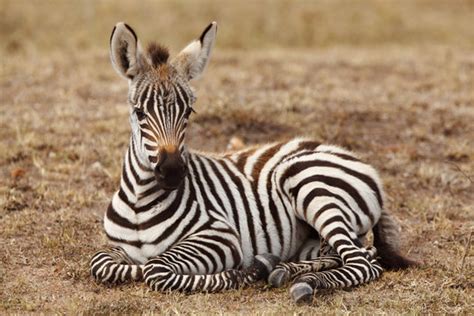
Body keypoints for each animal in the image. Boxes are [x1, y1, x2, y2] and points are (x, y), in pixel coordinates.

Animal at [89, 21, 414, 304]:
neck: (140, 202)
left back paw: (304, 283)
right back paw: (283, 270)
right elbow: (102, 262)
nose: (172, 172)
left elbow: (155, 269)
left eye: (189, 112)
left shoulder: (220, 236)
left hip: (311, 185)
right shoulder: (116, 248)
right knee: (353, 254)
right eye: (139, 112)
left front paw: (247, 272)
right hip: (314, 238)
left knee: (362, 263)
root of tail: (351, 156)